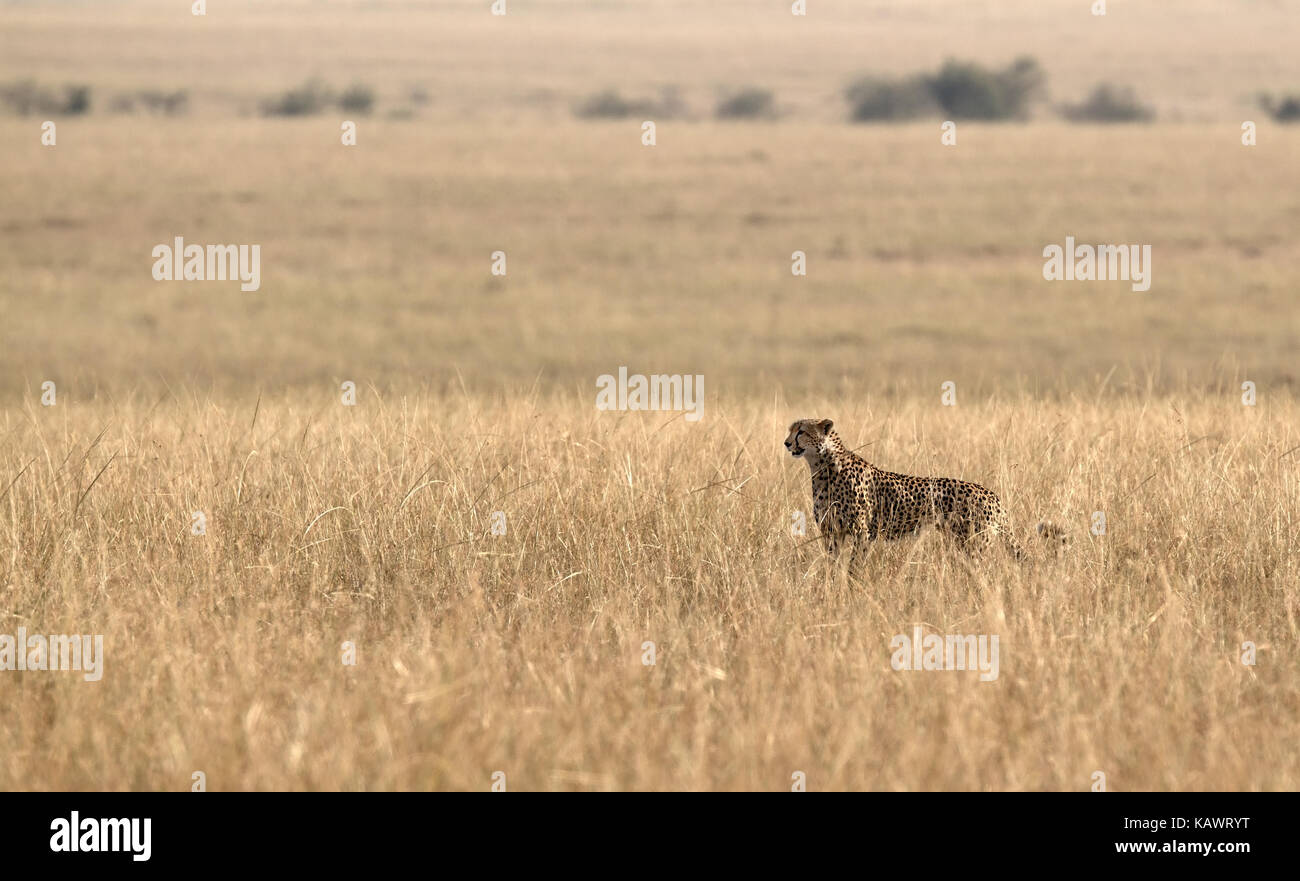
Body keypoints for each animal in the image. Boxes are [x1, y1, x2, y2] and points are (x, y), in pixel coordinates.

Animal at [780, 418, 1055, 561]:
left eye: (801, 431)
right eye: (790, 430)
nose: (786, 443)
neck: (823, 466)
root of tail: (992, 494)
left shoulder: (861, 532)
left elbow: (854, 566)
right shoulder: (831, 532)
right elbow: (832, 565)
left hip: (974, 544)